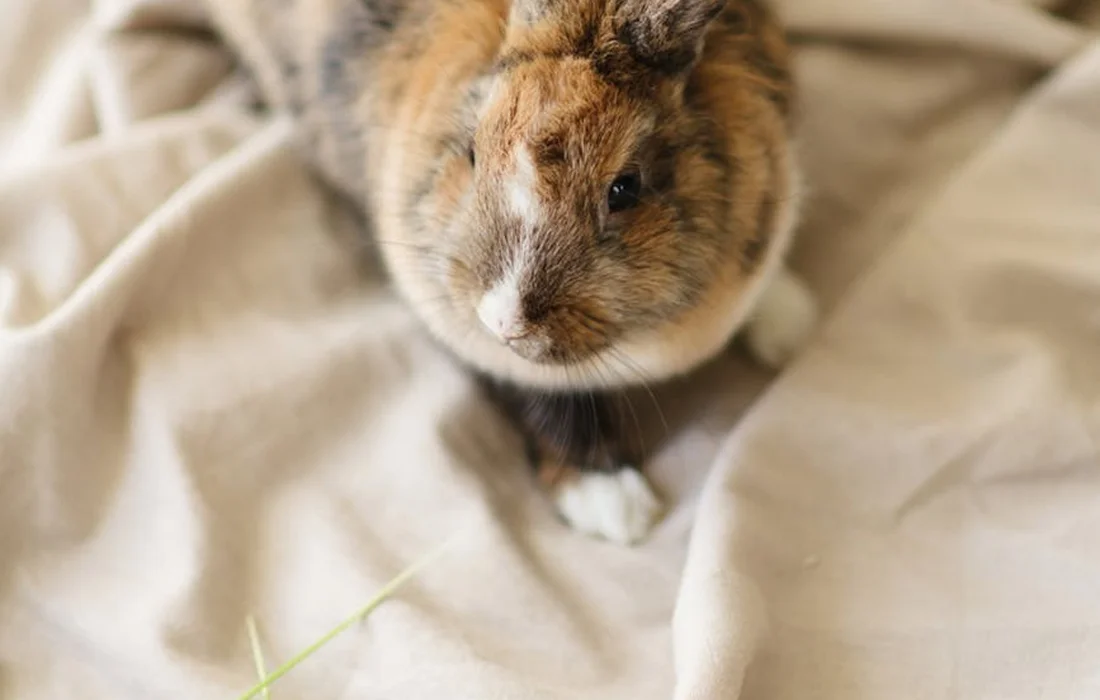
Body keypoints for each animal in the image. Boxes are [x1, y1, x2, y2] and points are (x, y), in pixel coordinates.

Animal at [202, 0, 819, 545]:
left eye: (625, 188)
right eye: (473, 152)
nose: (505, 321)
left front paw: (789, 326)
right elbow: (544, 399)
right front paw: (613, 507)